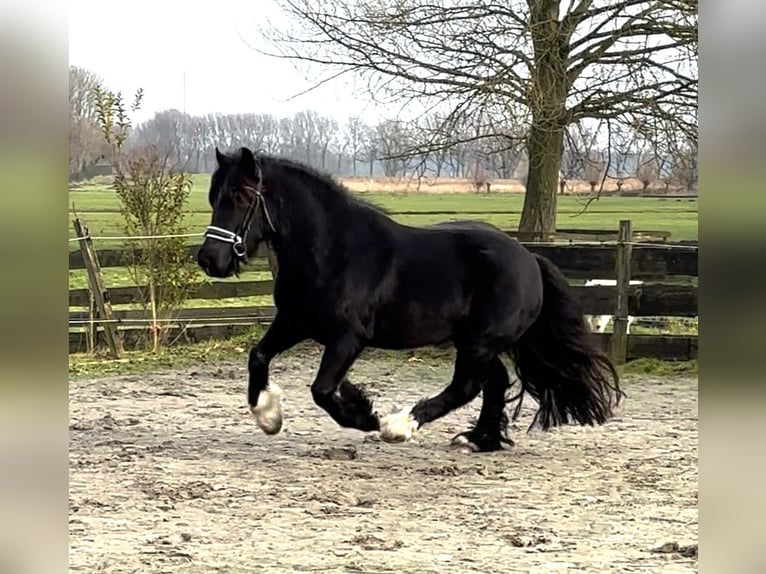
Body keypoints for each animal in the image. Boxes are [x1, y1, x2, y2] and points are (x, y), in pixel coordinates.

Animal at [196, 146, 624, 452]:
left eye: (241, 196)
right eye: (214, 196)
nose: (210, 259)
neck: (332, 251)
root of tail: (529, 258)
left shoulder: (347, 338)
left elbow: (322, 390)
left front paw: (365, 414)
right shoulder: (294, 322)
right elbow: (258, 357)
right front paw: (269, 417)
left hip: (479, 342)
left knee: (466, 386)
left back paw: (400, 425)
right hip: (474, 342)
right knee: (494, 383)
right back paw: (478, 441)